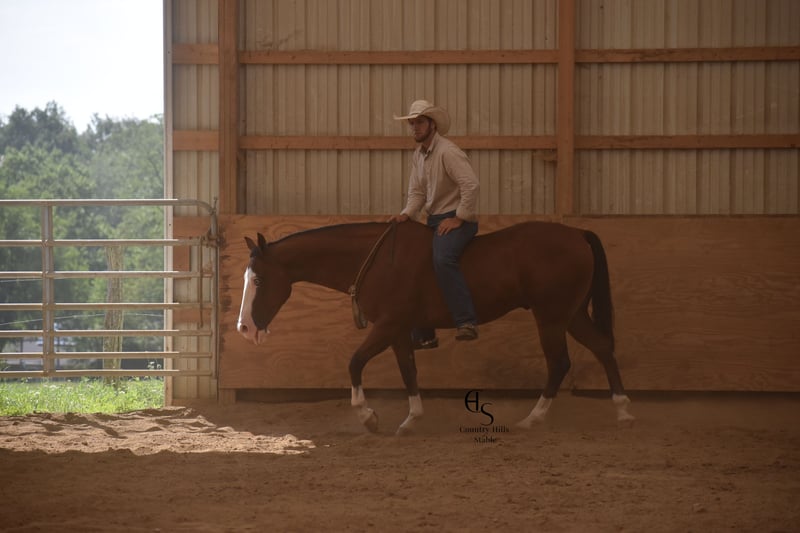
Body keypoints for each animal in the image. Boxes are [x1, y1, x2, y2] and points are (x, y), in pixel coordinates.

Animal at [236, 220, 634, 435]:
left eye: (257, 279)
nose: (244, 328)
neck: (377, 261)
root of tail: (576, 233)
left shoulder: (387, 324)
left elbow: (354, 362)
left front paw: (368, 417)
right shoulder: (398, 330)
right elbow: (408, 371)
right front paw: (411, 420)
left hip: (551, 316)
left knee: (560, 363)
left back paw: (531, 420)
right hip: (571, 314)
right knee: (602, 347)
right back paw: (622, 411)